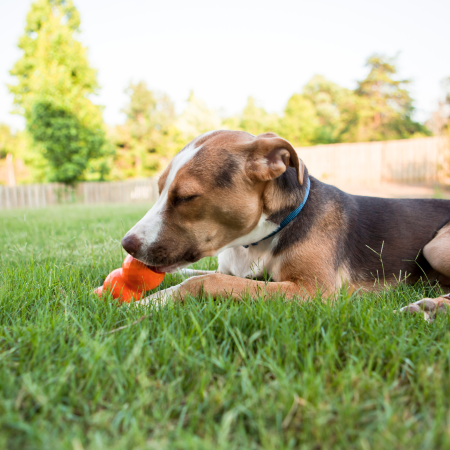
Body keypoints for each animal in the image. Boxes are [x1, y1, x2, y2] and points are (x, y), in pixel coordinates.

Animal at [121, 130, 450, 320]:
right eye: (160, 188)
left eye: (186, 197)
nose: (127, 244)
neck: (256, 242)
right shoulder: (233, 271)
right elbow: (195, 273)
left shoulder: (313, 291)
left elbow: (204, 281)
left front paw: (148, 303)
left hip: (435, 247)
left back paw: (430, 307)